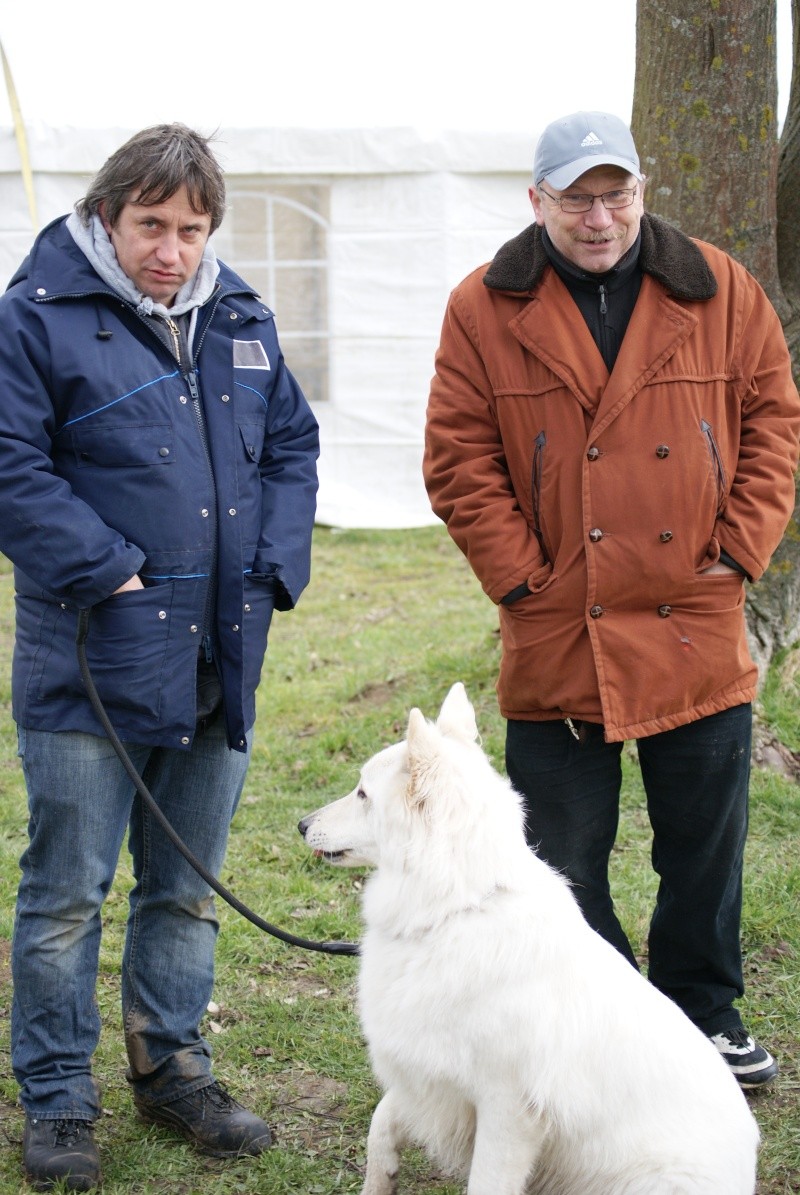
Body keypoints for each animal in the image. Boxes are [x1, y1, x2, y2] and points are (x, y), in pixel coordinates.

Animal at [296, 683, 760, 1195]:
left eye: (362, 794)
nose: (302, 824)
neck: (459, 906)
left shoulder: (508, 1110)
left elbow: (485, 1182)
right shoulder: (426, 1070)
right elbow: (381, 1125)